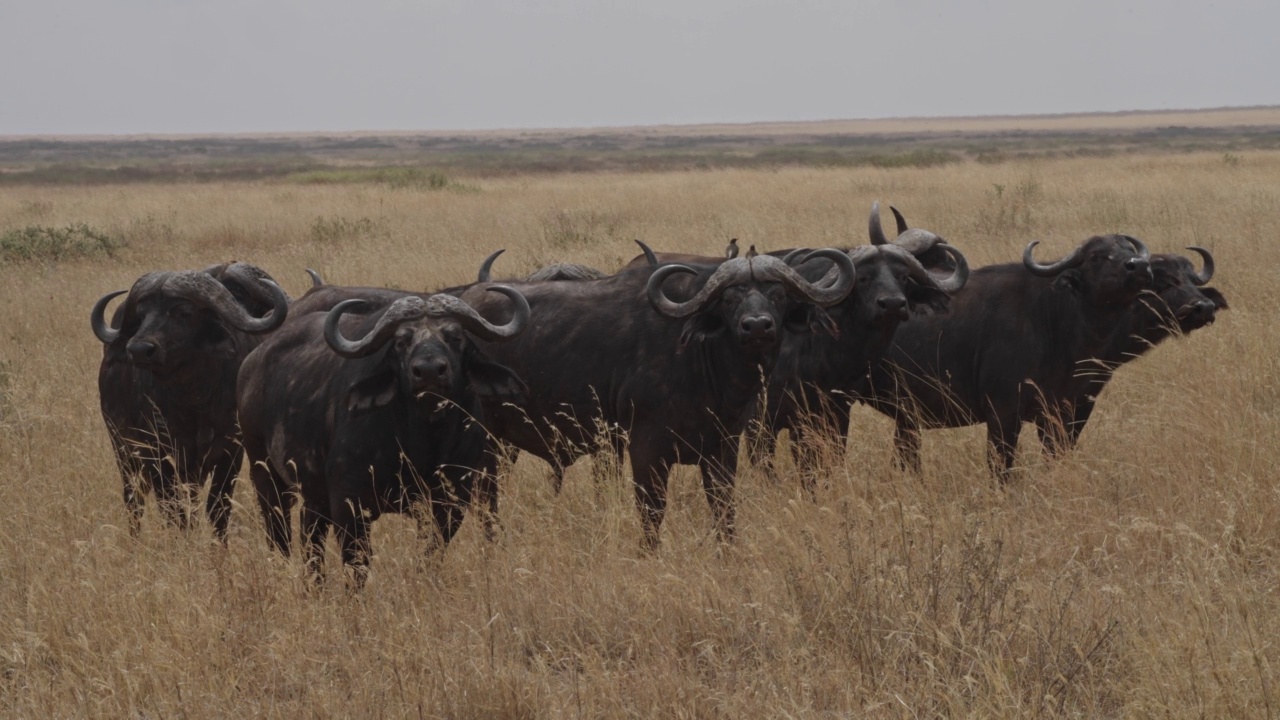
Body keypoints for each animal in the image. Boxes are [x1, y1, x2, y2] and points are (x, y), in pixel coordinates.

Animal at [90, 260, 288, 535]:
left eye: (183, 312)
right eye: (141, 314)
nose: (138, 349)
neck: (194, 402)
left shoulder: (230, 453)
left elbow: (218, 509)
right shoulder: (159, 456)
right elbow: (173, 512)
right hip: (124, 451)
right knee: (133, 499)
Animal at [238, 283, 527, 579]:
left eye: (455, 336)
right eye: (401, 342)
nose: (429, 371)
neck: (422, 441)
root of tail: (252, 363)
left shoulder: (449, 502)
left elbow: (430, 556)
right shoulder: (349, 505)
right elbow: (357, 564)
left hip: (313, 494)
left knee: (311, 539)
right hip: (265, 473)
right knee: (279, 533)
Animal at [455, 249, 855, 545]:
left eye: (778, 295)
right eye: (728, 299)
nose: (757, 326)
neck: (703, 362)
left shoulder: (723, 449)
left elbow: (724, 510)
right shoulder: (645, 451)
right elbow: (652, 514)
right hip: (485, 444)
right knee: (485, 498)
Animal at [865, 233, 1157, 474]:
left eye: (1128, 248)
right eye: (1096, 257)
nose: (1139, 266)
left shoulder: (1066, 412)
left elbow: (1053, 457)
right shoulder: (1003, 412)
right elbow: (1000, 465)